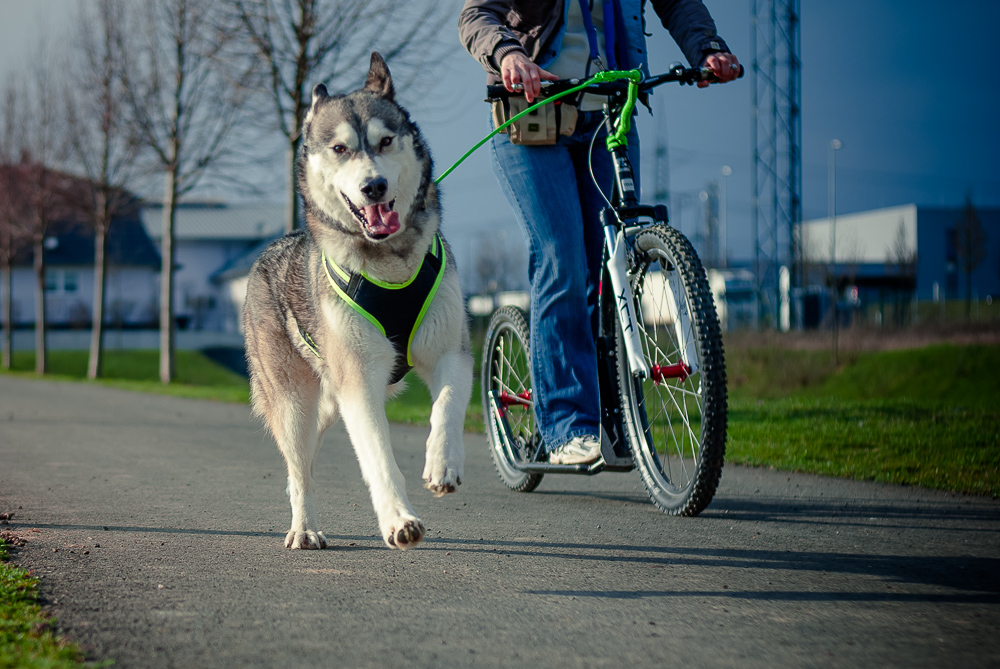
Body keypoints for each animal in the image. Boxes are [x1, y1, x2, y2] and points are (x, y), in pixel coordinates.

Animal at [244, 53, 474, 548]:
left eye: (385, 141)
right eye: (339, 149)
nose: (375, 187)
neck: (390, 262)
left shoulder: (450, 350)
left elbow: (446, 406)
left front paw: (442, 462)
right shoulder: (359, 381)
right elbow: (379, 458)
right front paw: (399, 519)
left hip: (329, 399)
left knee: (308, 456)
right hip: (295, 401)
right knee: (299, 468)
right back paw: (304, 527)